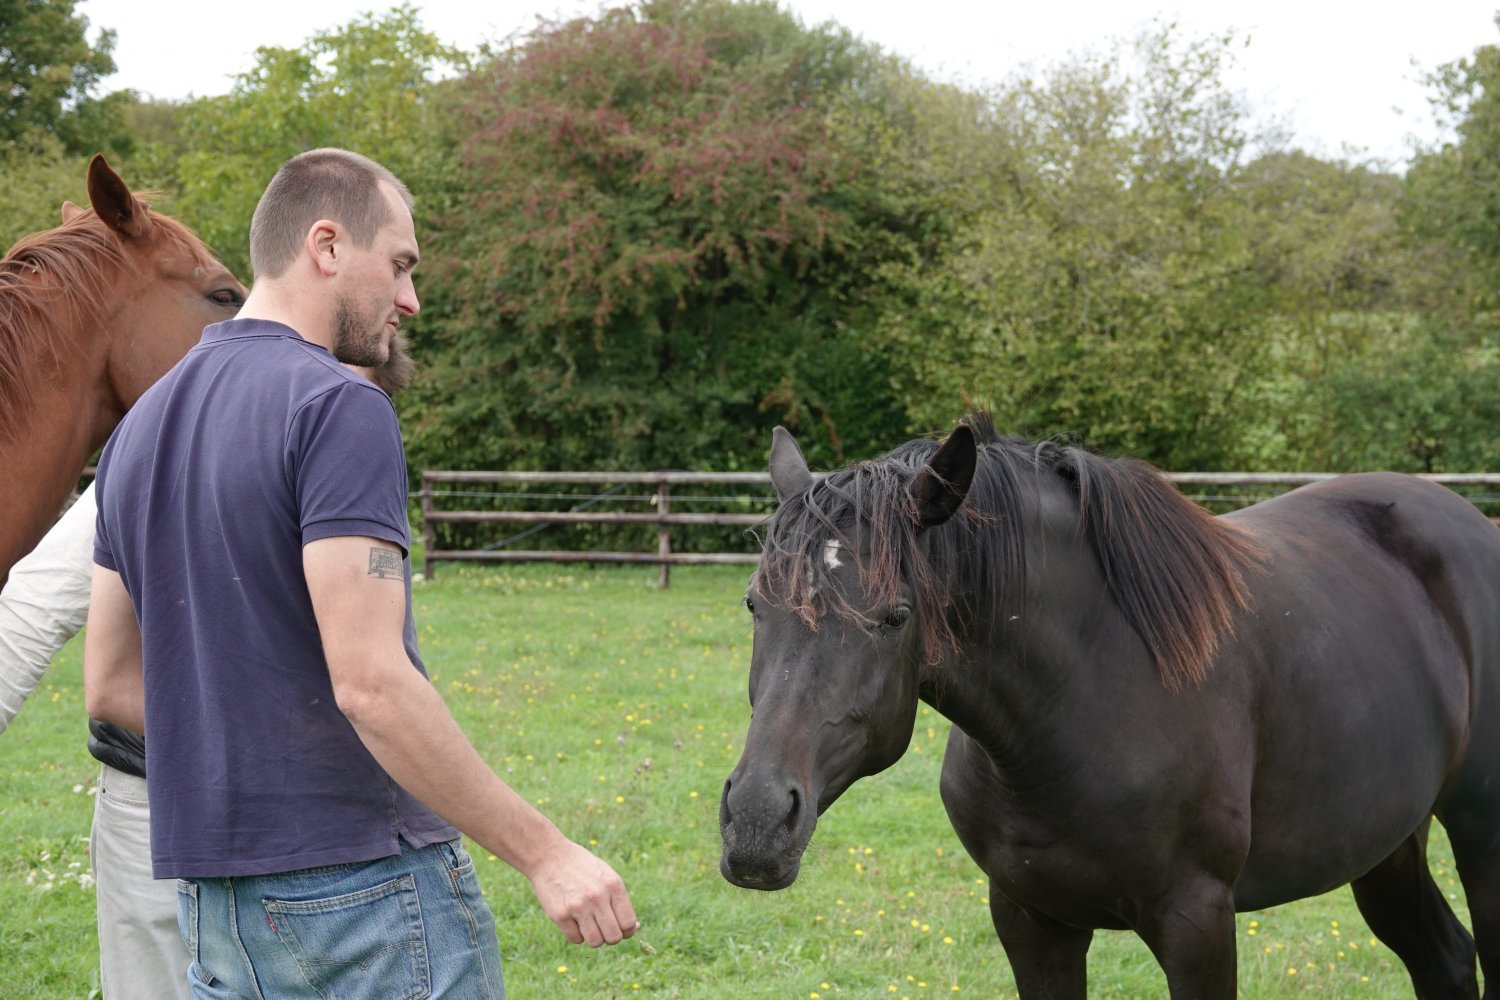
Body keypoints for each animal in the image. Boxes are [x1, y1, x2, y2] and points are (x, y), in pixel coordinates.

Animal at [719, 415, 1500, 999]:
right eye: (755, 603)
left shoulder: (1197, 923)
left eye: (895, 616)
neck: (1088, 695)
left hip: (1477, 833)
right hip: (1385, 844)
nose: (756, 821)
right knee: (1446, 961)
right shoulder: (1031, 919)